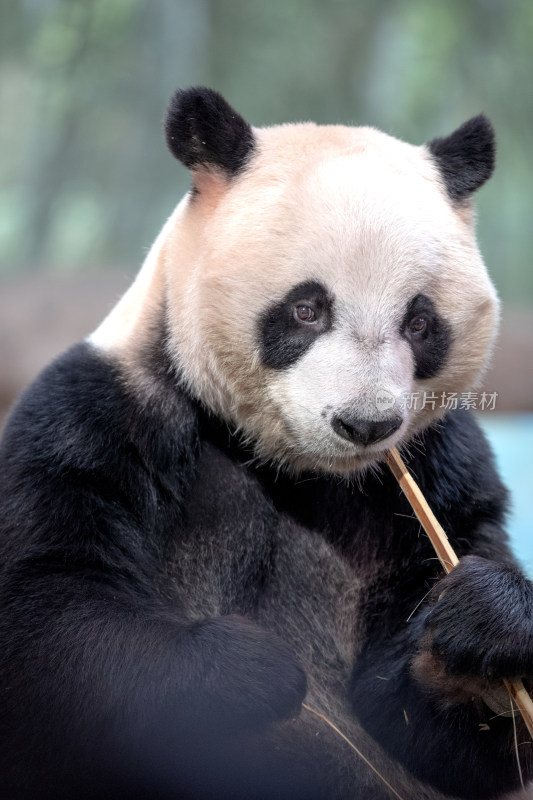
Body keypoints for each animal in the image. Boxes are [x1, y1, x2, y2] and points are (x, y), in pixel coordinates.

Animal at [1, 87, 532, 800]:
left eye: (420, 323)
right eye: (307, 309)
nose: (365, 425)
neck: (291, 465)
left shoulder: (435, 466)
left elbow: (434, 734)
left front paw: (483, 625)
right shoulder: (97, 416)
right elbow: (49, 617)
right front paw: (246, 670)